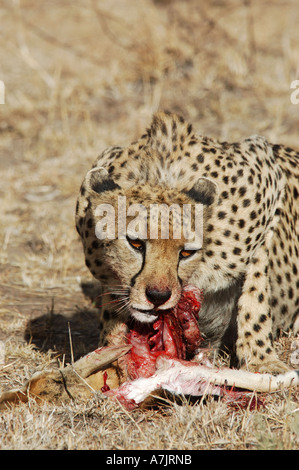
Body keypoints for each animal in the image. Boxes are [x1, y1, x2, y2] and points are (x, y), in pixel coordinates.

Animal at [76, 112, 299, 372]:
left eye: (186, 253)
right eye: (136, 243)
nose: (158, 297)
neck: (163, 178)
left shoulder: (267, 180)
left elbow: (255, 292)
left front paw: (261, 359)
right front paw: (111, 350)